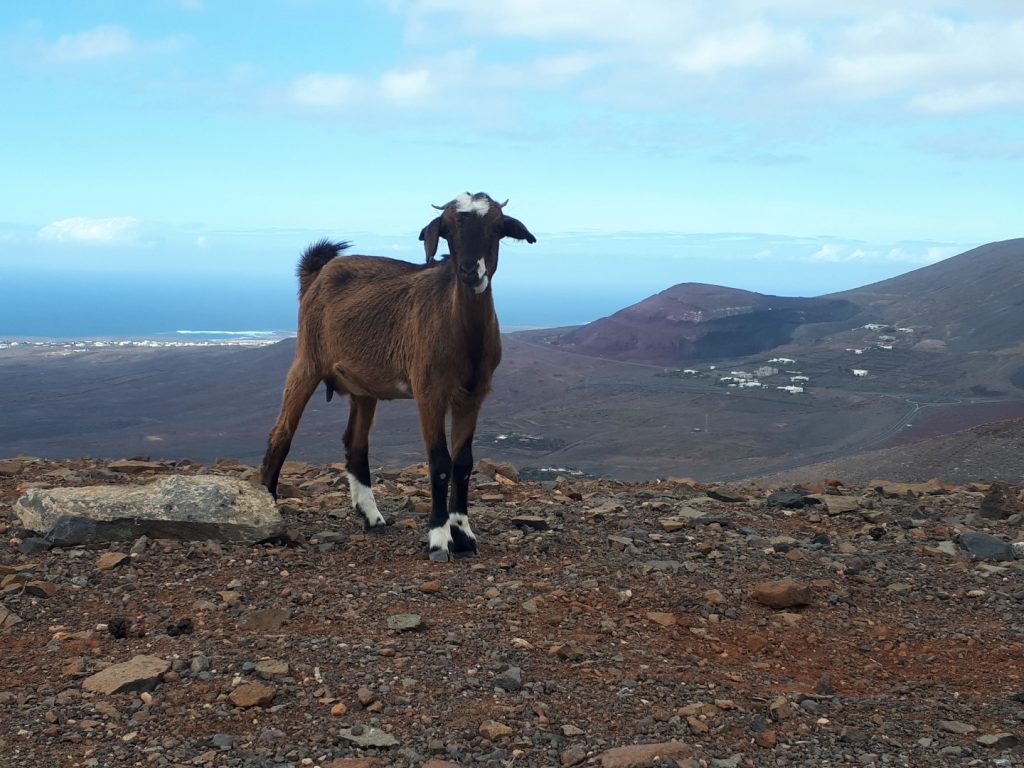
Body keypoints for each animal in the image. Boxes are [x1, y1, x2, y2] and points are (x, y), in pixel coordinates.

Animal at [260, 192, 536, 561]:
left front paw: (464, 535)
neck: (464, 334)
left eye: (496, 228)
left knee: (355, 443)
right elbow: (440, 462)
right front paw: (439, 539)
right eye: (448, 230)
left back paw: (372, 517)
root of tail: (318, 273)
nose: (468, 271)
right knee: (282, 432)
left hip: (363, 387)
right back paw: (268, 507)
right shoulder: (429, 391)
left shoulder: (473, 395)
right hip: (308, 359)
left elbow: (463, 463)